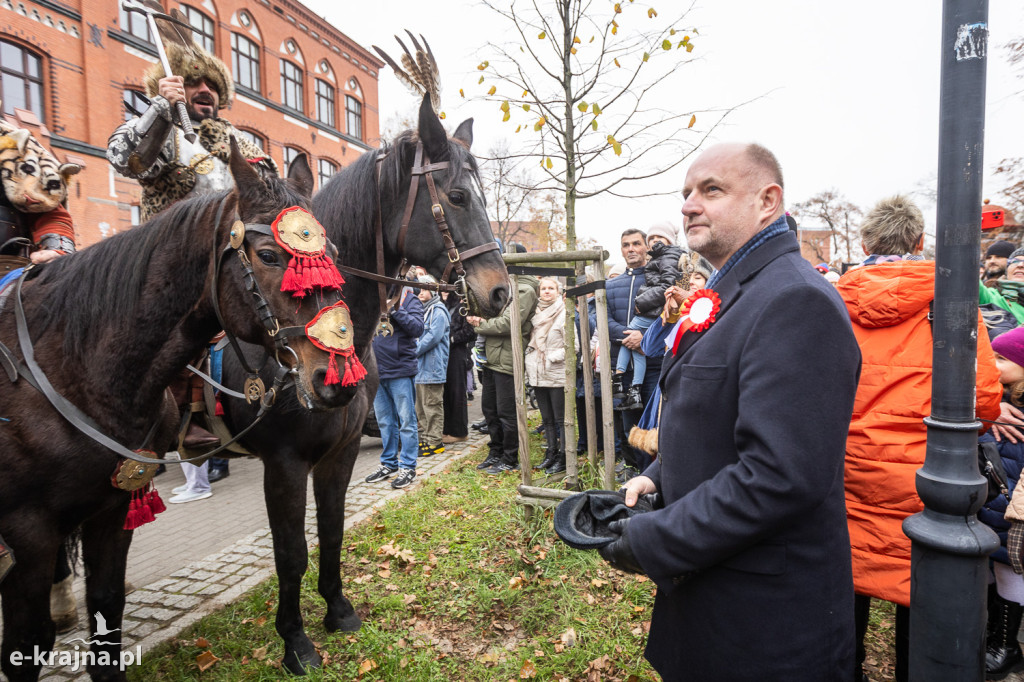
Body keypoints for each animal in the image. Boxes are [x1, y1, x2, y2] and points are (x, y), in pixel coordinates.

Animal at [0, 143, 360, 679]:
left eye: (333, 257)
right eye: (269, 256)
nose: (337, 378)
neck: (69, 364)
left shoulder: (110, 511)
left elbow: (106, 611)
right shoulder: (29, 531)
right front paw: (298, 643)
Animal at [214, 91, 509, 667]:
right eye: (458, 196)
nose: (501, 292)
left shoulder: (341, 449)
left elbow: (330, 533)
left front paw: (337, 611)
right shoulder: (284, 463)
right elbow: (291, 553)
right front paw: (295, 639)